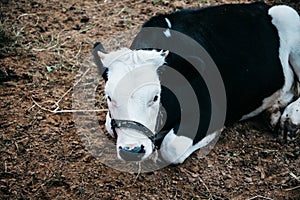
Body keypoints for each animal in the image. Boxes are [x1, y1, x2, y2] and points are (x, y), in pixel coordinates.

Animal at [94, 1, 300, 164]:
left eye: (155, 97)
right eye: (109, 97)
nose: (132, 150)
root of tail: (260, 5)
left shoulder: (213, 107)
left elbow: (171, 148)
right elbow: (110, 126)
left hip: (290, 16)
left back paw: (291, 120)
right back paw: (274, 110)